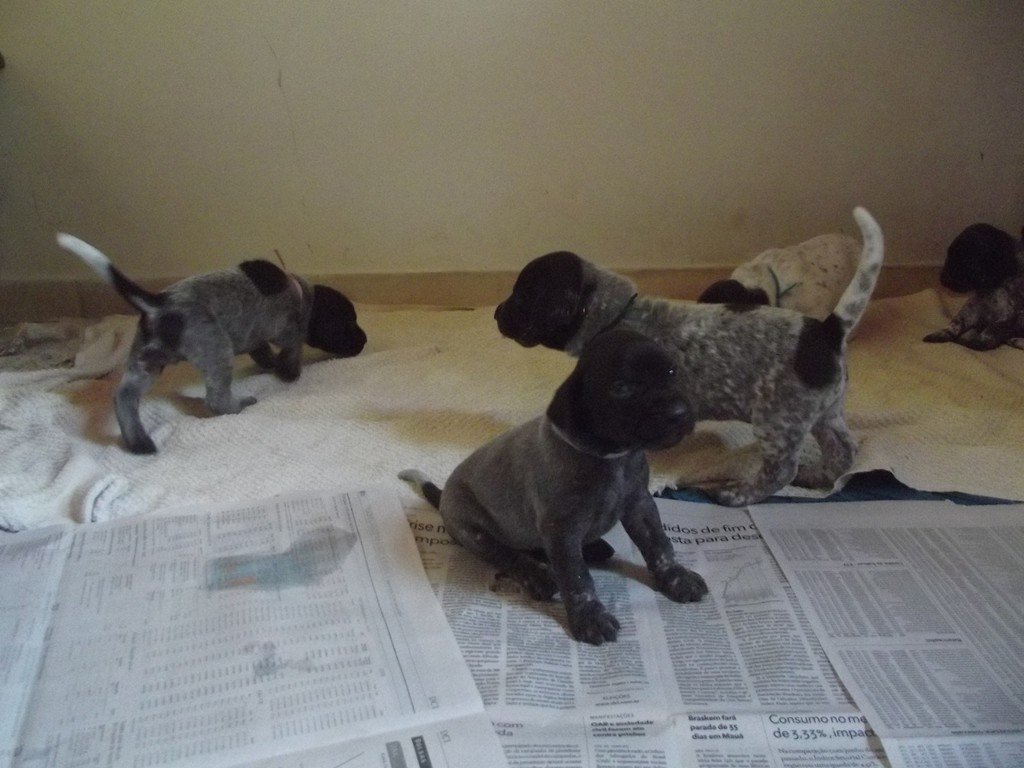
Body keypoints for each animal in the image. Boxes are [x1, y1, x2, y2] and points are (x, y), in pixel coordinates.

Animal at [57, 233, 366, 454]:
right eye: (349, 323)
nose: (364, 341)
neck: (302, 294)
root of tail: (159, 303)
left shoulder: (255, 337)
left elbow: (262, 351)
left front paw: (270, 364)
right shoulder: (289, 331)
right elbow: (291, 352)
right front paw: (289, 373)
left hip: (145, 363)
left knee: (124, 398)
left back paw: (139, 442)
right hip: (218, 350)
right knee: (215, 400)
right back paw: (239, 405)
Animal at [400, 328, 708, 645]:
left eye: (671, 371)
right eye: (621, 388)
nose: (679, 412)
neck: (611, 457)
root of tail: (443, 497)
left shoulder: (640, 505)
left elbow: (659, 544)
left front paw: (677, 577)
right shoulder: (562, 530)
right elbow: (577, 578)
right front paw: (589, 616)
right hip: (472, 530)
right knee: (508, 555)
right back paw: (537, 575)